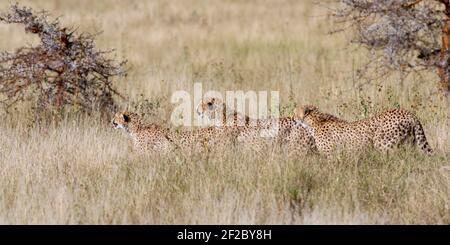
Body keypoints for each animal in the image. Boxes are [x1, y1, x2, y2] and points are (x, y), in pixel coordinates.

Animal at [294, 104, 434, 156]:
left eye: (295, 112)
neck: (314, 122)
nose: (293, 117)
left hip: (383, 145)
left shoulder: (330, 155)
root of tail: (409, 114)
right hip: (409, 143)